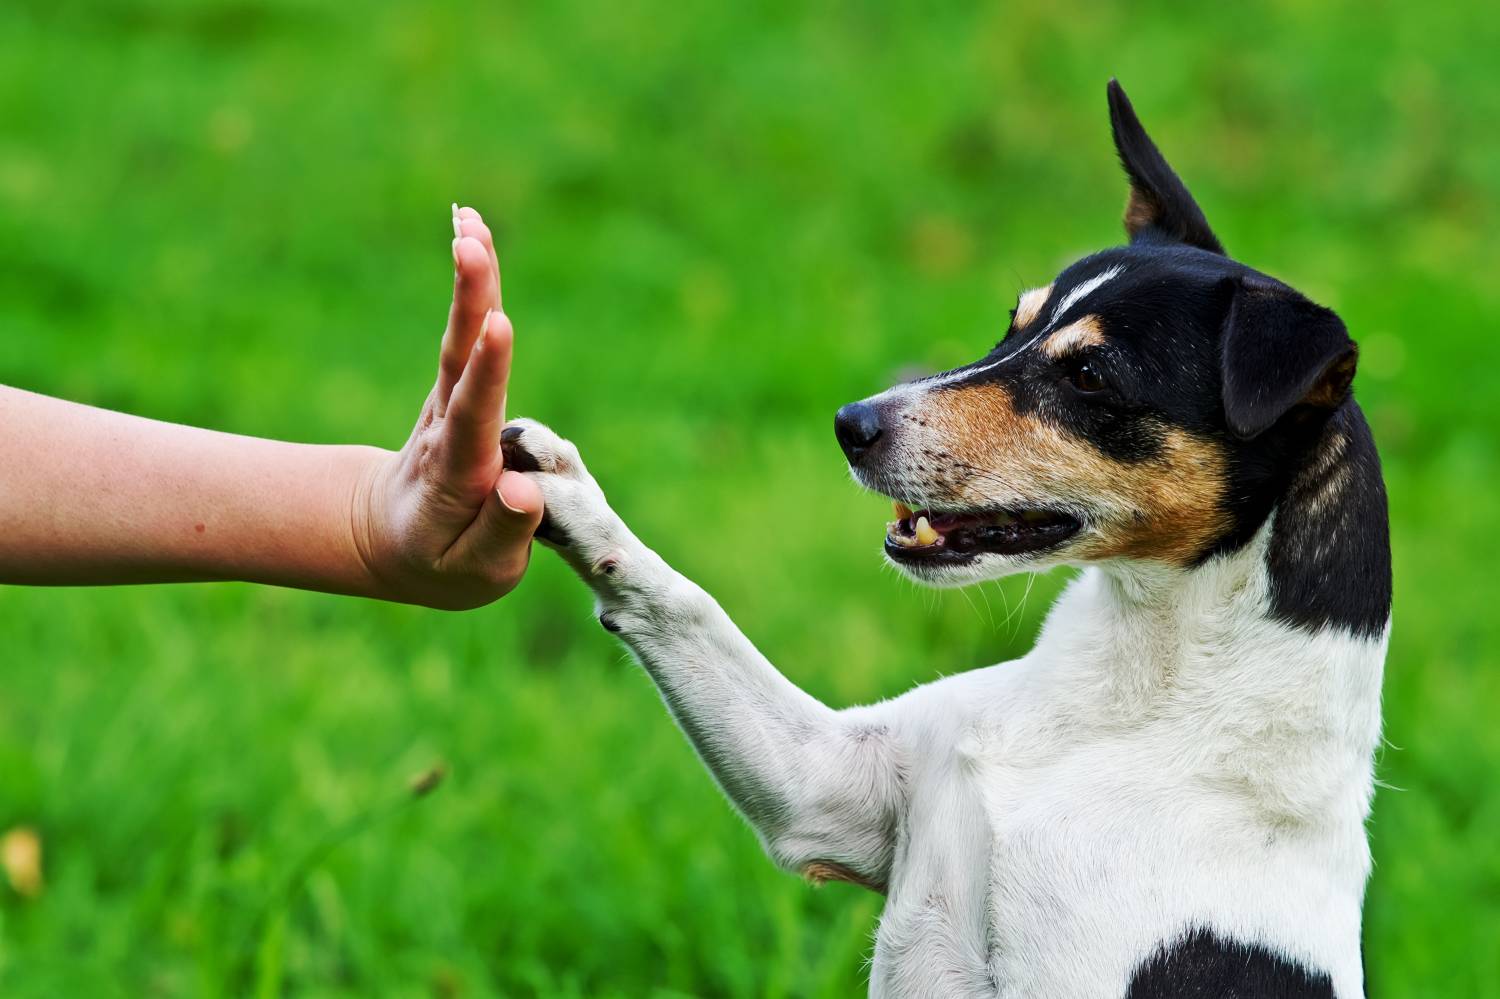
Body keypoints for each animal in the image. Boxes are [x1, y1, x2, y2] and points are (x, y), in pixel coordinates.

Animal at [504, 81, 1392, 990]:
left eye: (1089, 375)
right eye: (1013, 323)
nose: (850, 424)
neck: (1131, 702)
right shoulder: (825, 787)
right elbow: (684, 603)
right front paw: (562, 490)